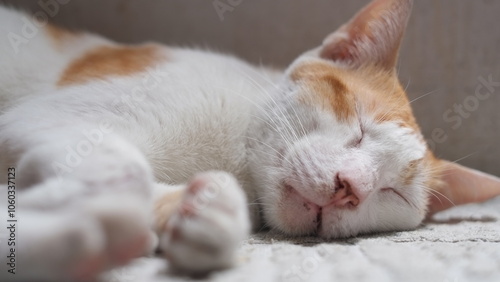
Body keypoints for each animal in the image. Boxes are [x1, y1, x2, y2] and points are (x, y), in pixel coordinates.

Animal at [0, 0, 500, 280]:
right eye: (358, 126)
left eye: (391, 192)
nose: (350, 188)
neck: (235, 155)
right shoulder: (40, 119)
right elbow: (125, 169)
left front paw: (202, 215)